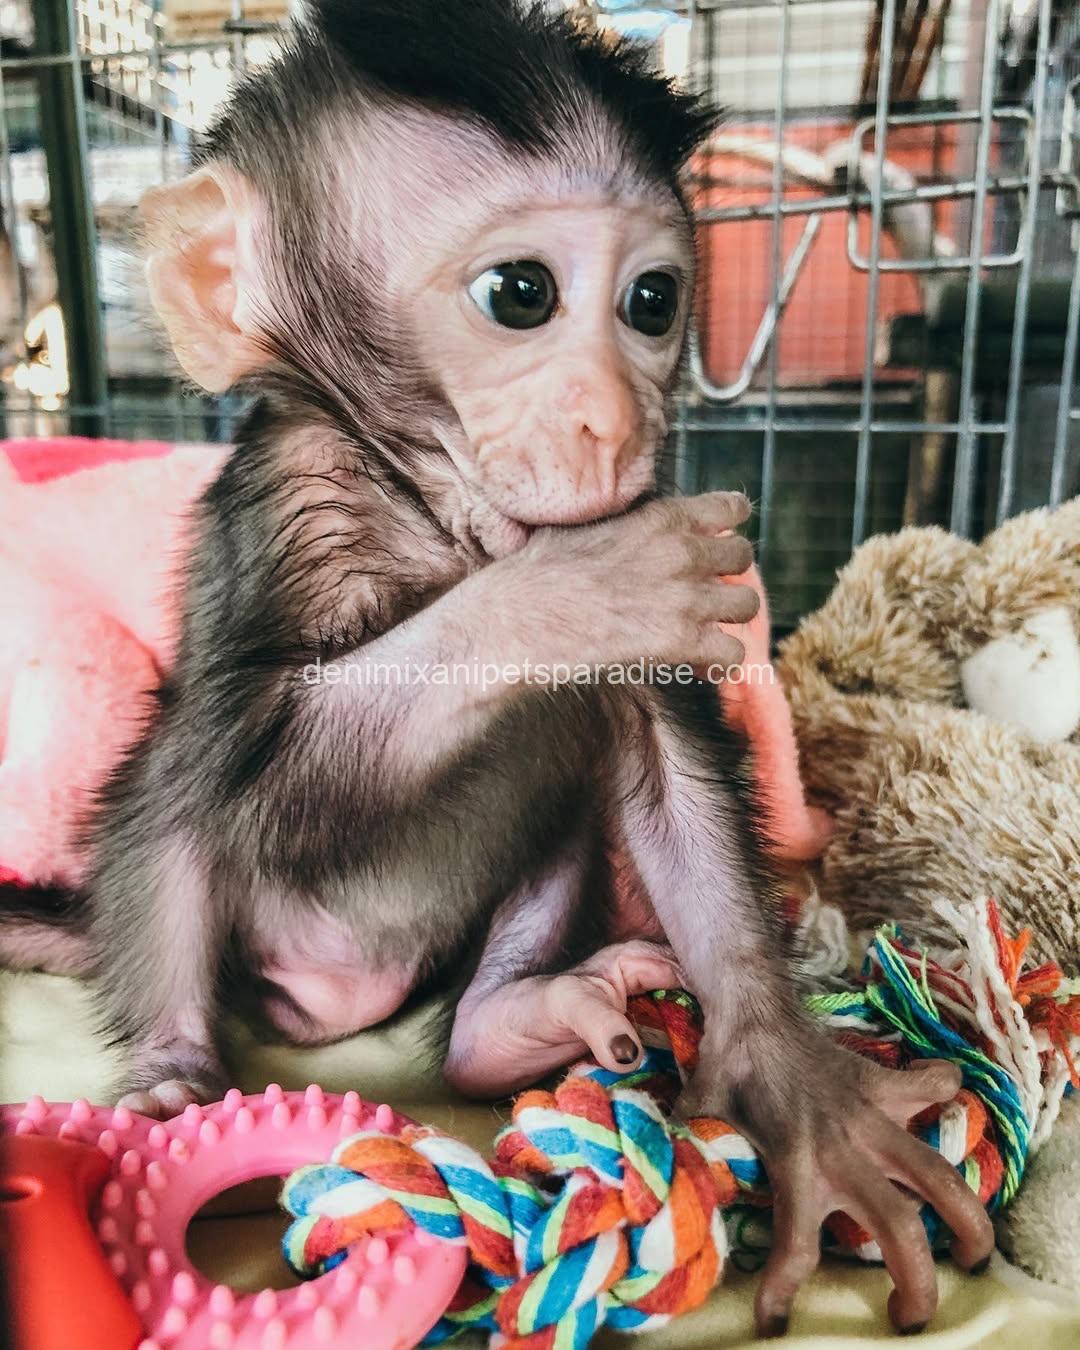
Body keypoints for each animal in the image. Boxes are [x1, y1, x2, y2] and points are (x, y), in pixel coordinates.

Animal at [1, 0, 992, 1337]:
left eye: (653, 300)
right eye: (521, 294)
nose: (616, 422)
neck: (448, 505)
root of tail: (330, 1008)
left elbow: (662, 765)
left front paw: (796, 1086)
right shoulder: (297, 506)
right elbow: (258, 772)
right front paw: (580, 590)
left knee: (561, 788)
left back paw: (505, 1026)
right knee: (172, 791)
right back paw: (171, 1070)